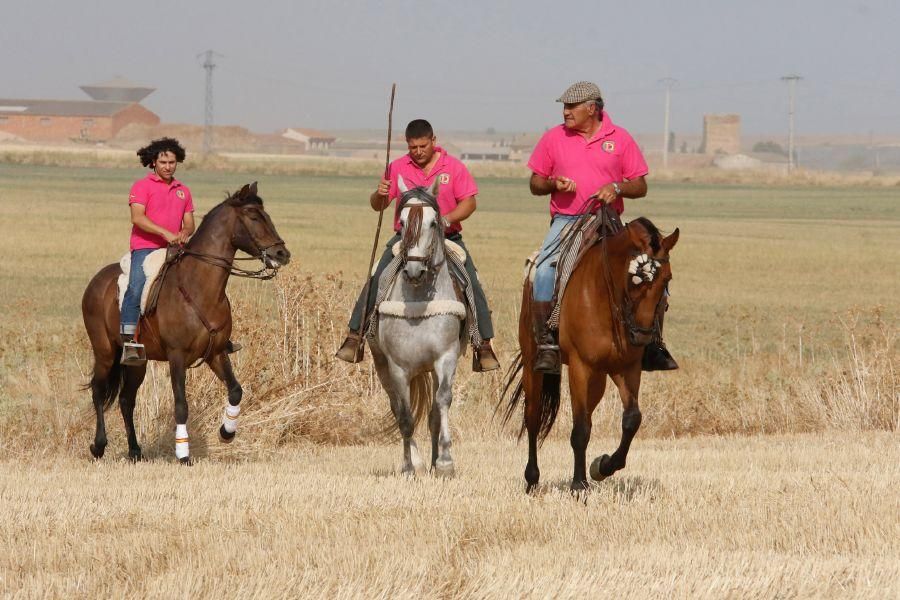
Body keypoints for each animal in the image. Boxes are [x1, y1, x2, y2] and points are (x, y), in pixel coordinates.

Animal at [81, 183, 290, 464]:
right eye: (254, 216)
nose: (282, 253)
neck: (199, 287)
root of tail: (96, 281)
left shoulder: (216, 352)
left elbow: (236, 390)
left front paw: (226, 432)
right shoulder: (177, 355)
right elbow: (181, 405)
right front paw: (183, 453)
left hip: (138, 362)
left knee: (126, 400)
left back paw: (135, 450)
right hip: (104, 351)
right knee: (98, 392)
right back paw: (98, 446)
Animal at [370, 176, 464, 476]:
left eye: (433, 223)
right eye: (402, 222)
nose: (414, 271)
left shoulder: (446, 357)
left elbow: (442, 402)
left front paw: (445, 462)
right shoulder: (398, 367)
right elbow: (405, 416)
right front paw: (409, 467)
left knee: (433, 413)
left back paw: (434, 461)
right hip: (382, 366)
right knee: (397, 408)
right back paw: (417, 461)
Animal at [502, 216, 680, 492]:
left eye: (667, 279)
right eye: (634, 279)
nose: (641, 336)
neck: (606, 298)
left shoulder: (626, 368)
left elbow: (632, 419)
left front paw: (603, 466)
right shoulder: (580, 367)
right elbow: (580, 430)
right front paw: (578, 485)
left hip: (598, 378)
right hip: (534, 364)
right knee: (533, 417)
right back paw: (531, 479)